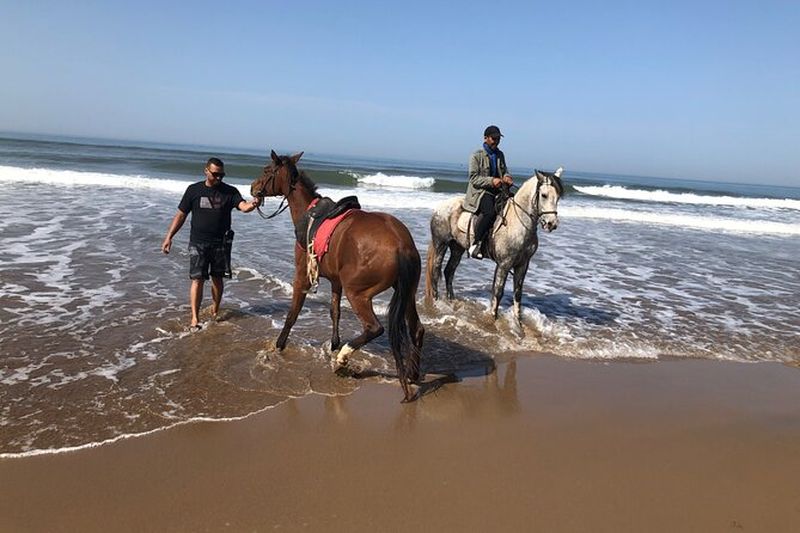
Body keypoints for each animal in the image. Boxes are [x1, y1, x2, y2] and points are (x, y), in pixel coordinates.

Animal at [250, 151, 425, 402]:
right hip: (406, 293)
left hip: (358, 293)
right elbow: (335, 312)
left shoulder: (301, 277)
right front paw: (333, 344)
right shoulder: (335, 281)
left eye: (266, 170)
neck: (308, 213)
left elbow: (292, 314)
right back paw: (411, 374)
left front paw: (279, 345)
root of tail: (401, 244)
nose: (253, 188)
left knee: (374, 328)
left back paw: (343, 361)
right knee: (416, 329)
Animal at [425, 168, 564, 321]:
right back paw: (436, 302)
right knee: (436, 272)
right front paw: (493, 319)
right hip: (441, 244)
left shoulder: (522, 265)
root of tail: (439, 207)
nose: (551, 224)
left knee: (449, 271)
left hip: (457, 248)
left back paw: (451, 300)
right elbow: (498, 292)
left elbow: (517, 293)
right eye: (544, 195)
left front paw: (518, 322)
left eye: (558, 196)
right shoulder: (504, 264)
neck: (518, 223)